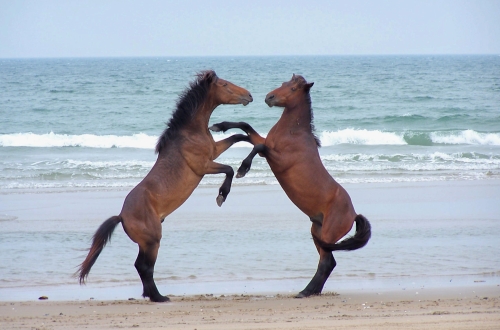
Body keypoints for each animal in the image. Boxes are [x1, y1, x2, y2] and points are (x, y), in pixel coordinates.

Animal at [78, 71, 254, 302]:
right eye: (224, 84)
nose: (249, 95)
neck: (189, 132)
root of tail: (122, 216)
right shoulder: (204, 165)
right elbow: (230, 170)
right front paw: (222, 195)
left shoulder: (214, 150)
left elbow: (237, 137)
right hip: (153, 241)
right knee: (144, 267)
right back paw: (159, 297)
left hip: (146, 243)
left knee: (140, 266)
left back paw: (150, 295)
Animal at [210, 75, 372, 300]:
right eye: (284, 83)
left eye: (294, 88)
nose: (269, 97)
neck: (293, 133)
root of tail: (354, 214)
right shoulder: (267, 146)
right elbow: (246, 131)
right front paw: (218, 126)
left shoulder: (277, 158)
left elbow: (257, 145)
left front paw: (243, 168)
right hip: (317, 232)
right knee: (329, 263)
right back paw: (312, 291)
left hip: (327, 235)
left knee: (326, 263)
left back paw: (305, 292)